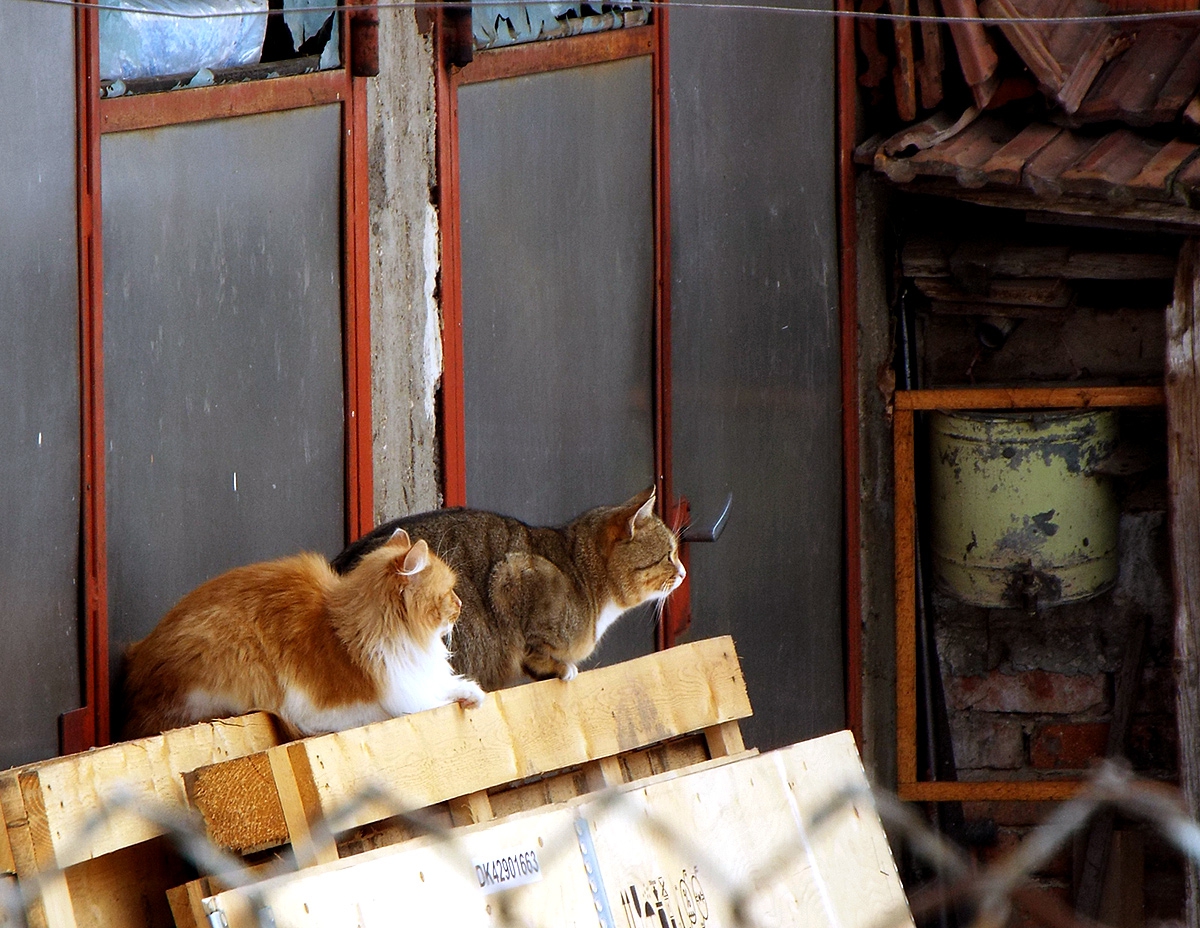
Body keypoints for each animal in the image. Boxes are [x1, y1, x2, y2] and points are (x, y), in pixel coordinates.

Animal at [118, 528, 482, 739]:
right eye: (448, 593)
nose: (461, 604)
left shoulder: (417, 678)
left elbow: (446, 686)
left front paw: (470, 693)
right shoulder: (355, 703)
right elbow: (418, 703)